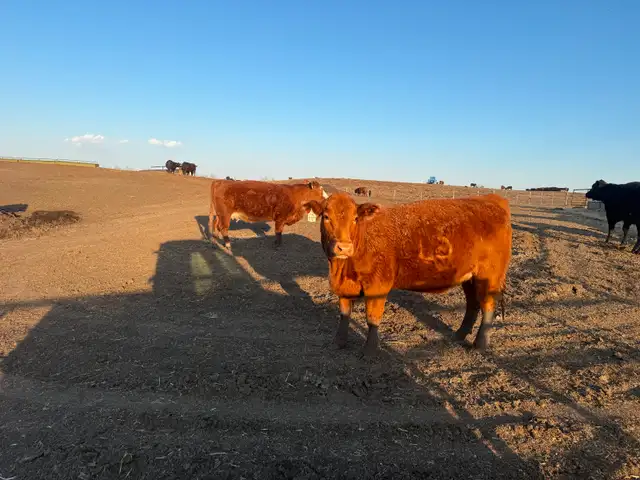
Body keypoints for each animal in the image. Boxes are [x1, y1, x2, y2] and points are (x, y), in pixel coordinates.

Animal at [303, 193, 512, 356]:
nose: (344, 247)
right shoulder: (345, 287)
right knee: (473, 304)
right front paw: (339, 342)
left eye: (355, 218)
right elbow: (344, 314)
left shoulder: (377, 286)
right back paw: (459, 335)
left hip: (489, 277)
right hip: (469, 278)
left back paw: (480, 345)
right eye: (326, 216)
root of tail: (492, 199)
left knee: (487, 306)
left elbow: (372, 319)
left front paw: (370, 350)